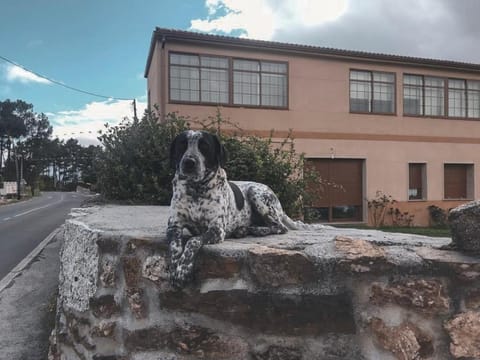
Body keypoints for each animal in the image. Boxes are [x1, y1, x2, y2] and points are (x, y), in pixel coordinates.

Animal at [167, 129, 306, 286]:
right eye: (182, 145)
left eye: (204, 146)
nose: (189, 162)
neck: (196, 189)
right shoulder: (174, 226)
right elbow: (174, 246)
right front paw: (175, 267)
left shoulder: (217, 229)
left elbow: (193, 241)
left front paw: (183, 270)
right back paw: (243, 230)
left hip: (256, 193)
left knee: (280, 227)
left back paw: (256, 230)